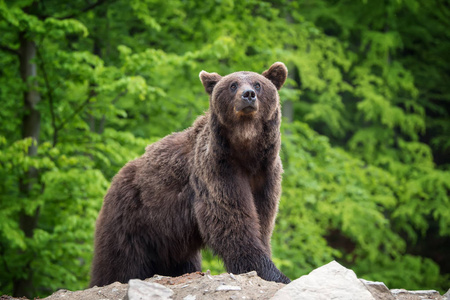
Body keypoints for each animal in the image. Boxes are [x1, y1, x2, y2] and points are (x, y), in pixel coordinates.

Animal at [89, 61, 290, 286]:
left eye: (258, 84)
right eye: (232, 85)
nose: (248, 95)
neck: (246, 152)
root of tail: (117, 177)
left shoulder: (265, 174)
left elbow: (262, 219)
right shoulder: (218, 170)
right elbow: (232, 219)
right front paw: (273, 273)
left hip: (168, 237)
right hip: (132, 219)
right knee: (119, 262)